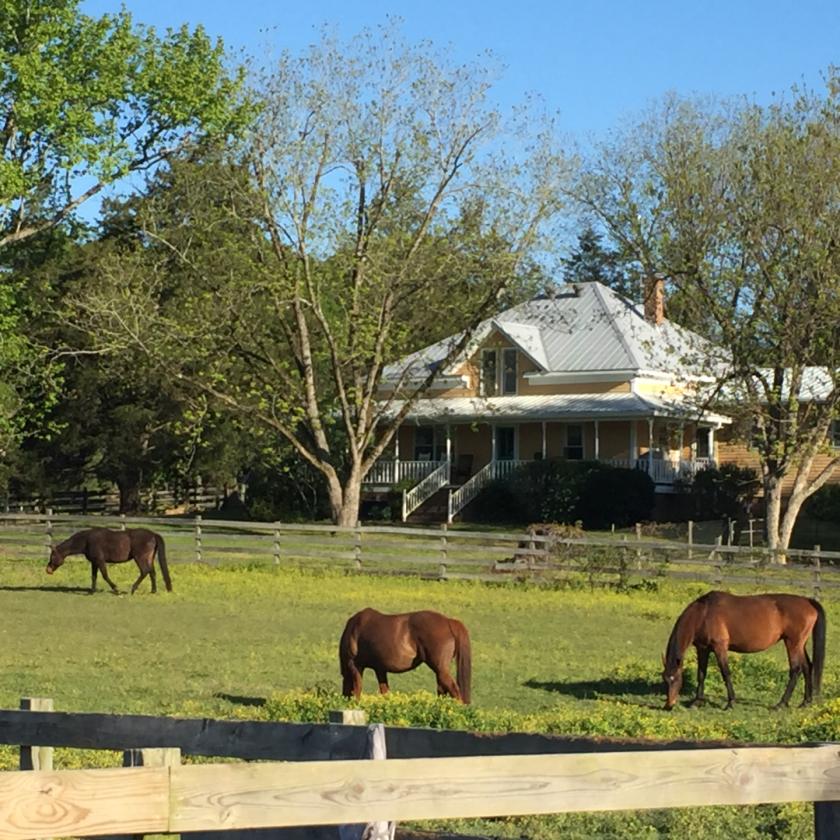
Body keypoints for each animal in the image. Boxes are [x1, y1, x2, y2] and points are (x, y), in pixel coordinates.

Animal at [339, 608, 471, 703]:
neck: (354, 628)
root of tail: (448, 621)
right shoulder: (380, 669)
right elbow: (385, 691)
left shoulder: (355, 665)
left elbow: (357, 690)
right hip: (440, 671)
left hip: (440, 669)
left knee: (454, 691)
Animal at [662, 590, 825, 711]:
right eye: (665, 680)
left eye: (675, 679)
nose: (669, 705)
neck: (704, 613)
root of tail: (808, 601)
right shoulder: (702, 649)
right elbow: (701, 674)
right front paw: (697, 701)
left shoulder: (720, 647)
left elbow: (725, 672)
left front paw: (730, 702)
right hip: (800, 644)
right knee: (807, 667)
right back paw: (806, 702)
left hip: (792, 643)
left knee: (796, 670)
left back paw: (781, 704)